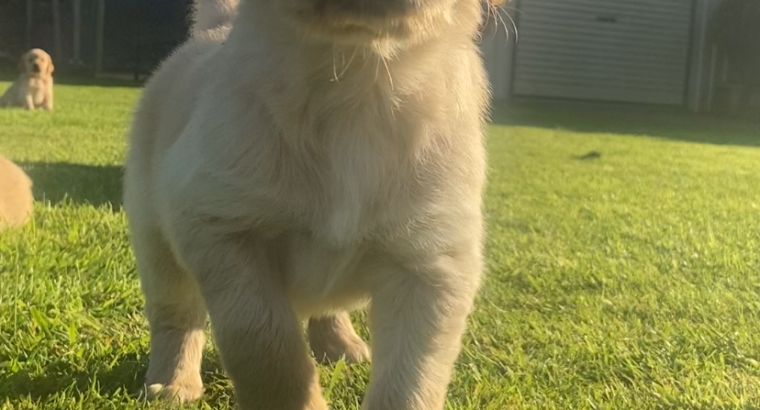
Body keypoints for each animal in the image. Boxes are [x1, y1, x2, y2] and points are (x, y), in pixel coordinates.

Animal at [123, 0, 498, 408]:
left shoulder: (433, 262)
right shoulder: (219, 225)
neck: (353, 72)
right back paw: (172, 383)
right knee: (176, 315)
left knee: (327, 307)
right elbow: (264, 346)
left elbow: (410, 383)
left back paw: (340, 344)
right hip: (156, 241)